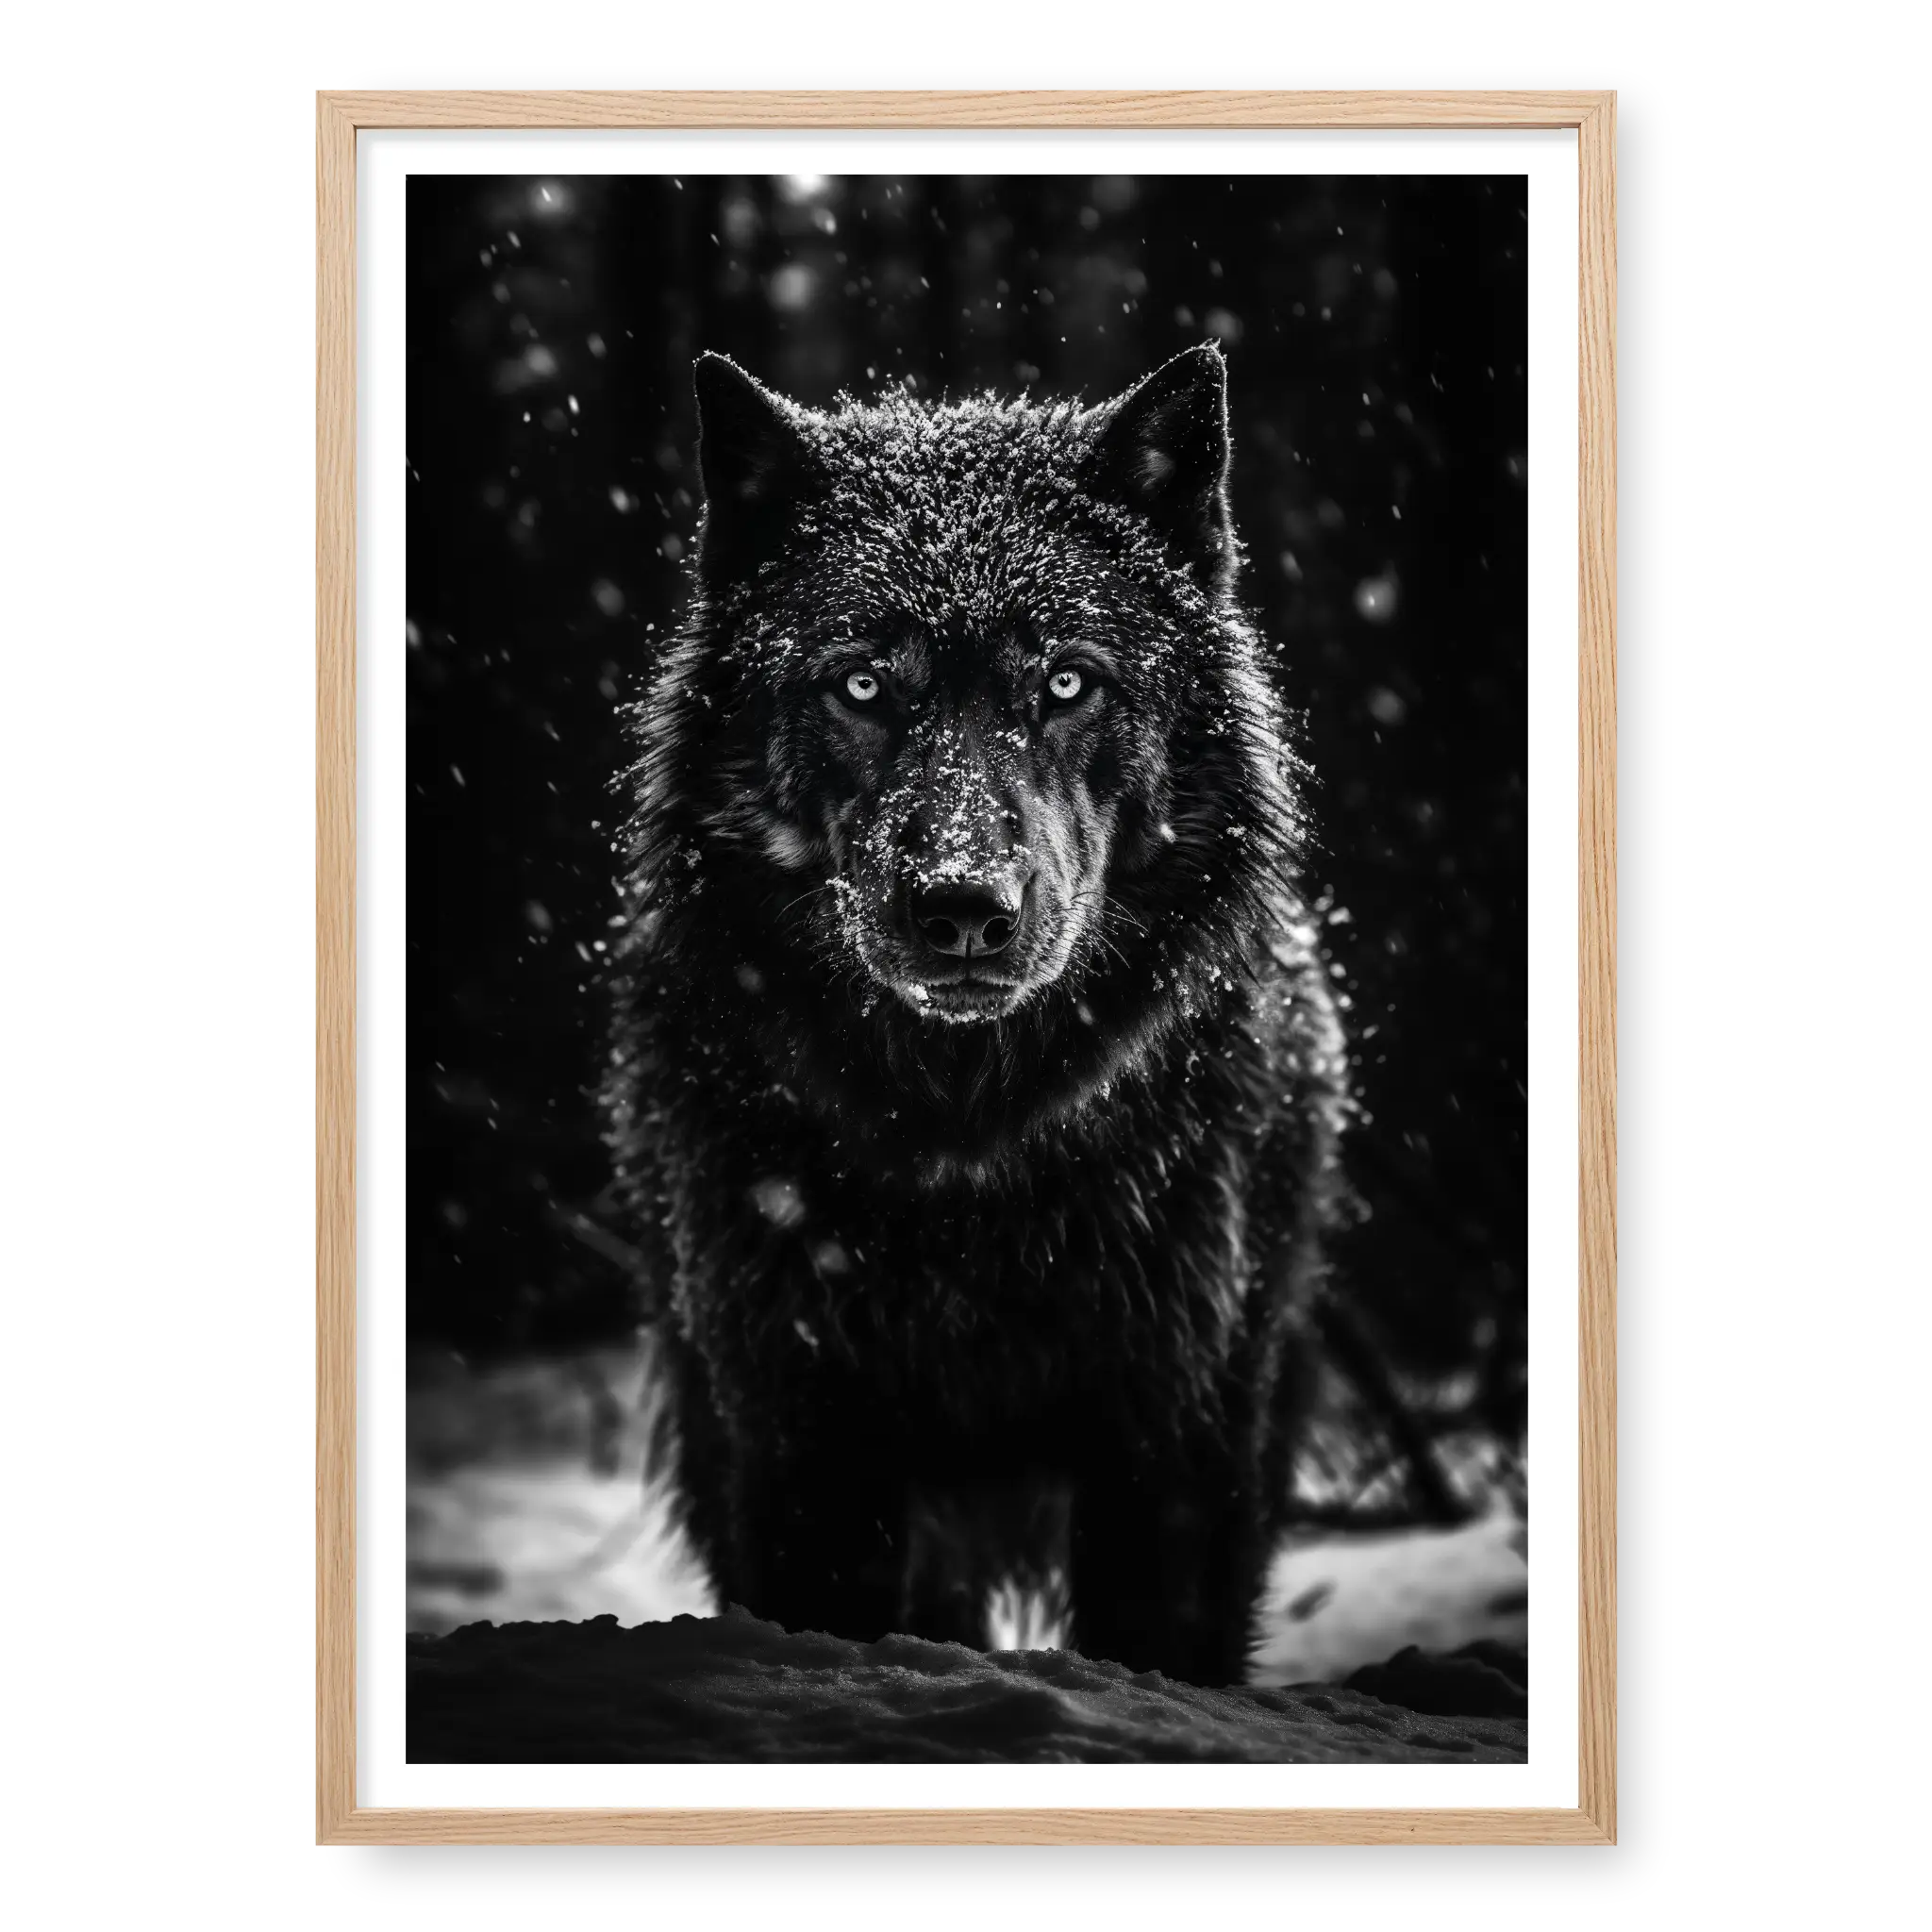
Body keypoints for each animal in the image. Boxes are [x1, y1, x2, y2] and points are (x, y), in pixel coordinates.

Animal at [601, 344, 1354, 1686]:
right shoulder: (798, 1430)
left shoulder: (1172, 1433)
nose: (960, 907)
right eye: (860, 683)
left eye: (1063, 681)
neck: (967, 1156)